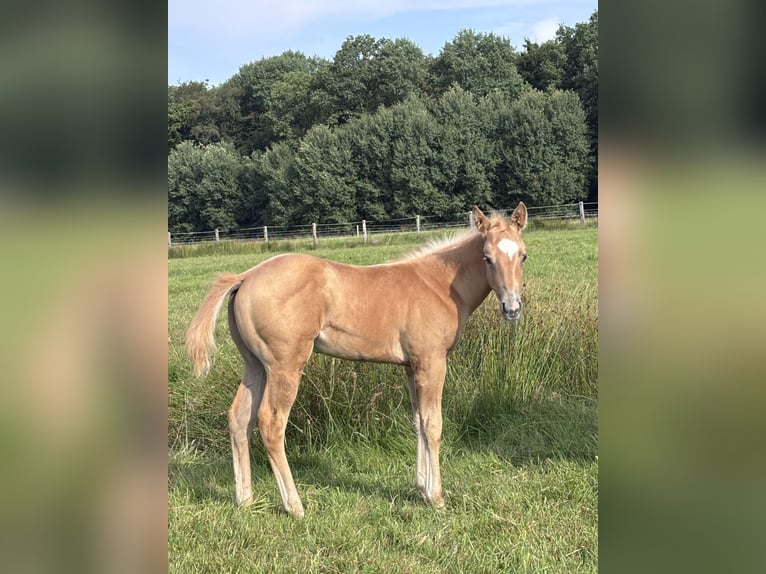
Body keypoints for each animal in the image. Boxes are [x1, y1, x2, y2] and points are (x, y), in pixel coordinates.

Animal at [186, 204, 528, 518]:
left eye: (523, 255)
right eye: (487, 257)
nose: (512, 308)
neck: (438, 285)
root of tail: (245, 276)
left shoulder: (411, 366)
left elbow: (417, 421)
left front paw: (420, 488)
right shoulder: (431, 362)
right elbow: (433, 425)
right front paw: (437, 497)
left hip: (255, 365)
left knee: (238, 418)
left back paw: (244, 500)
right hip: (284, 365)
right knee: (271, 422)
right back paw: (294, 506)